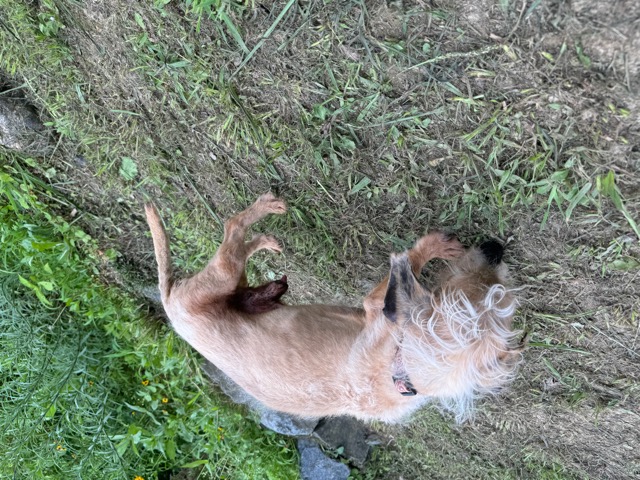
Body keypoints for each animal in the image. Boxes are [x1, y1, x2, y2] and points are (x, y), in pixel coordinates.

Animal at [145, 193, 521, 423]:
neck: (401, 371)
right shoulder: (376, 305)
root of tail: (169, 298)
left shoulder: (377, 307)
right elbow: (412, 260)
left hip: (230, 277)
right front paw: (435, 247)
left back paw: (265, 233)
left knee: (235, 234)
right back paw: (267, 216)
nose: (496, 249)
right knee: (234, 228)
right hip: (226, 277)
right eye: (476, 294)